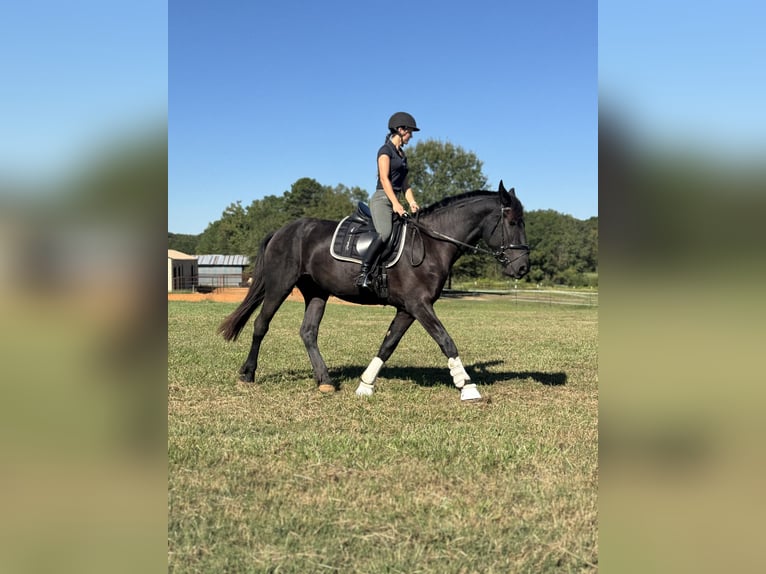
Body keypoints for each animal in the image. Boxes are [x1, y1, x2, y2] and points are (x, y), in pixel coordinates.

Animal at [219, 182, 532, 402]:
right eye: (513, 222)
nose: (523, 268)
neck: (432, 243)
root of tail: (283, 230)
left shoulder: (408, 308)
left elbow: (388, 344)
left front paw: (365, 385)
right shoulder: (419, 305)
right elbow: (446, 341)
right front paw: (467, 387)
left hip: (317, 292)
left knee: (308, 332)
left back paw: (325, 381)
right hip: (279, 285)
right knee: (261, 324)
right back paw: (247, 374)